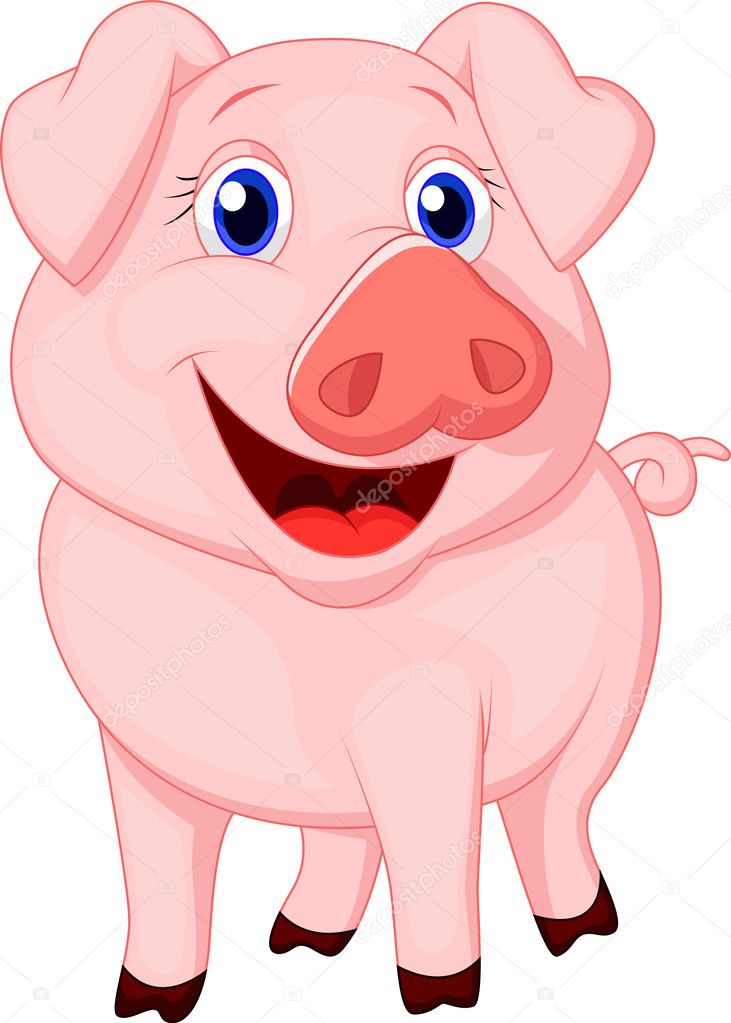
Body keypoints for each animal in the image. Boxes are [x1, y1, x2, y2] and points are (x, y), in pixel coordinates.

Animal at [2, 2, 728, 1019]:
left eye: (448, 208)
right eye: (241, 207)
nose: (421, 296)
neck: (299, 612)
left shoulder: (436, 709)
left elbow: (435, 849)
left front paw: (440, 994)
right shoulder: (130, 741)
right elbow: (157, 870)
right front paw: (146, 1000)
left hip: (614, 689)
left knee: (554, 810)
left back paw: (577, 931)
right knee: (344, 840)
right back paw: (301, 941)